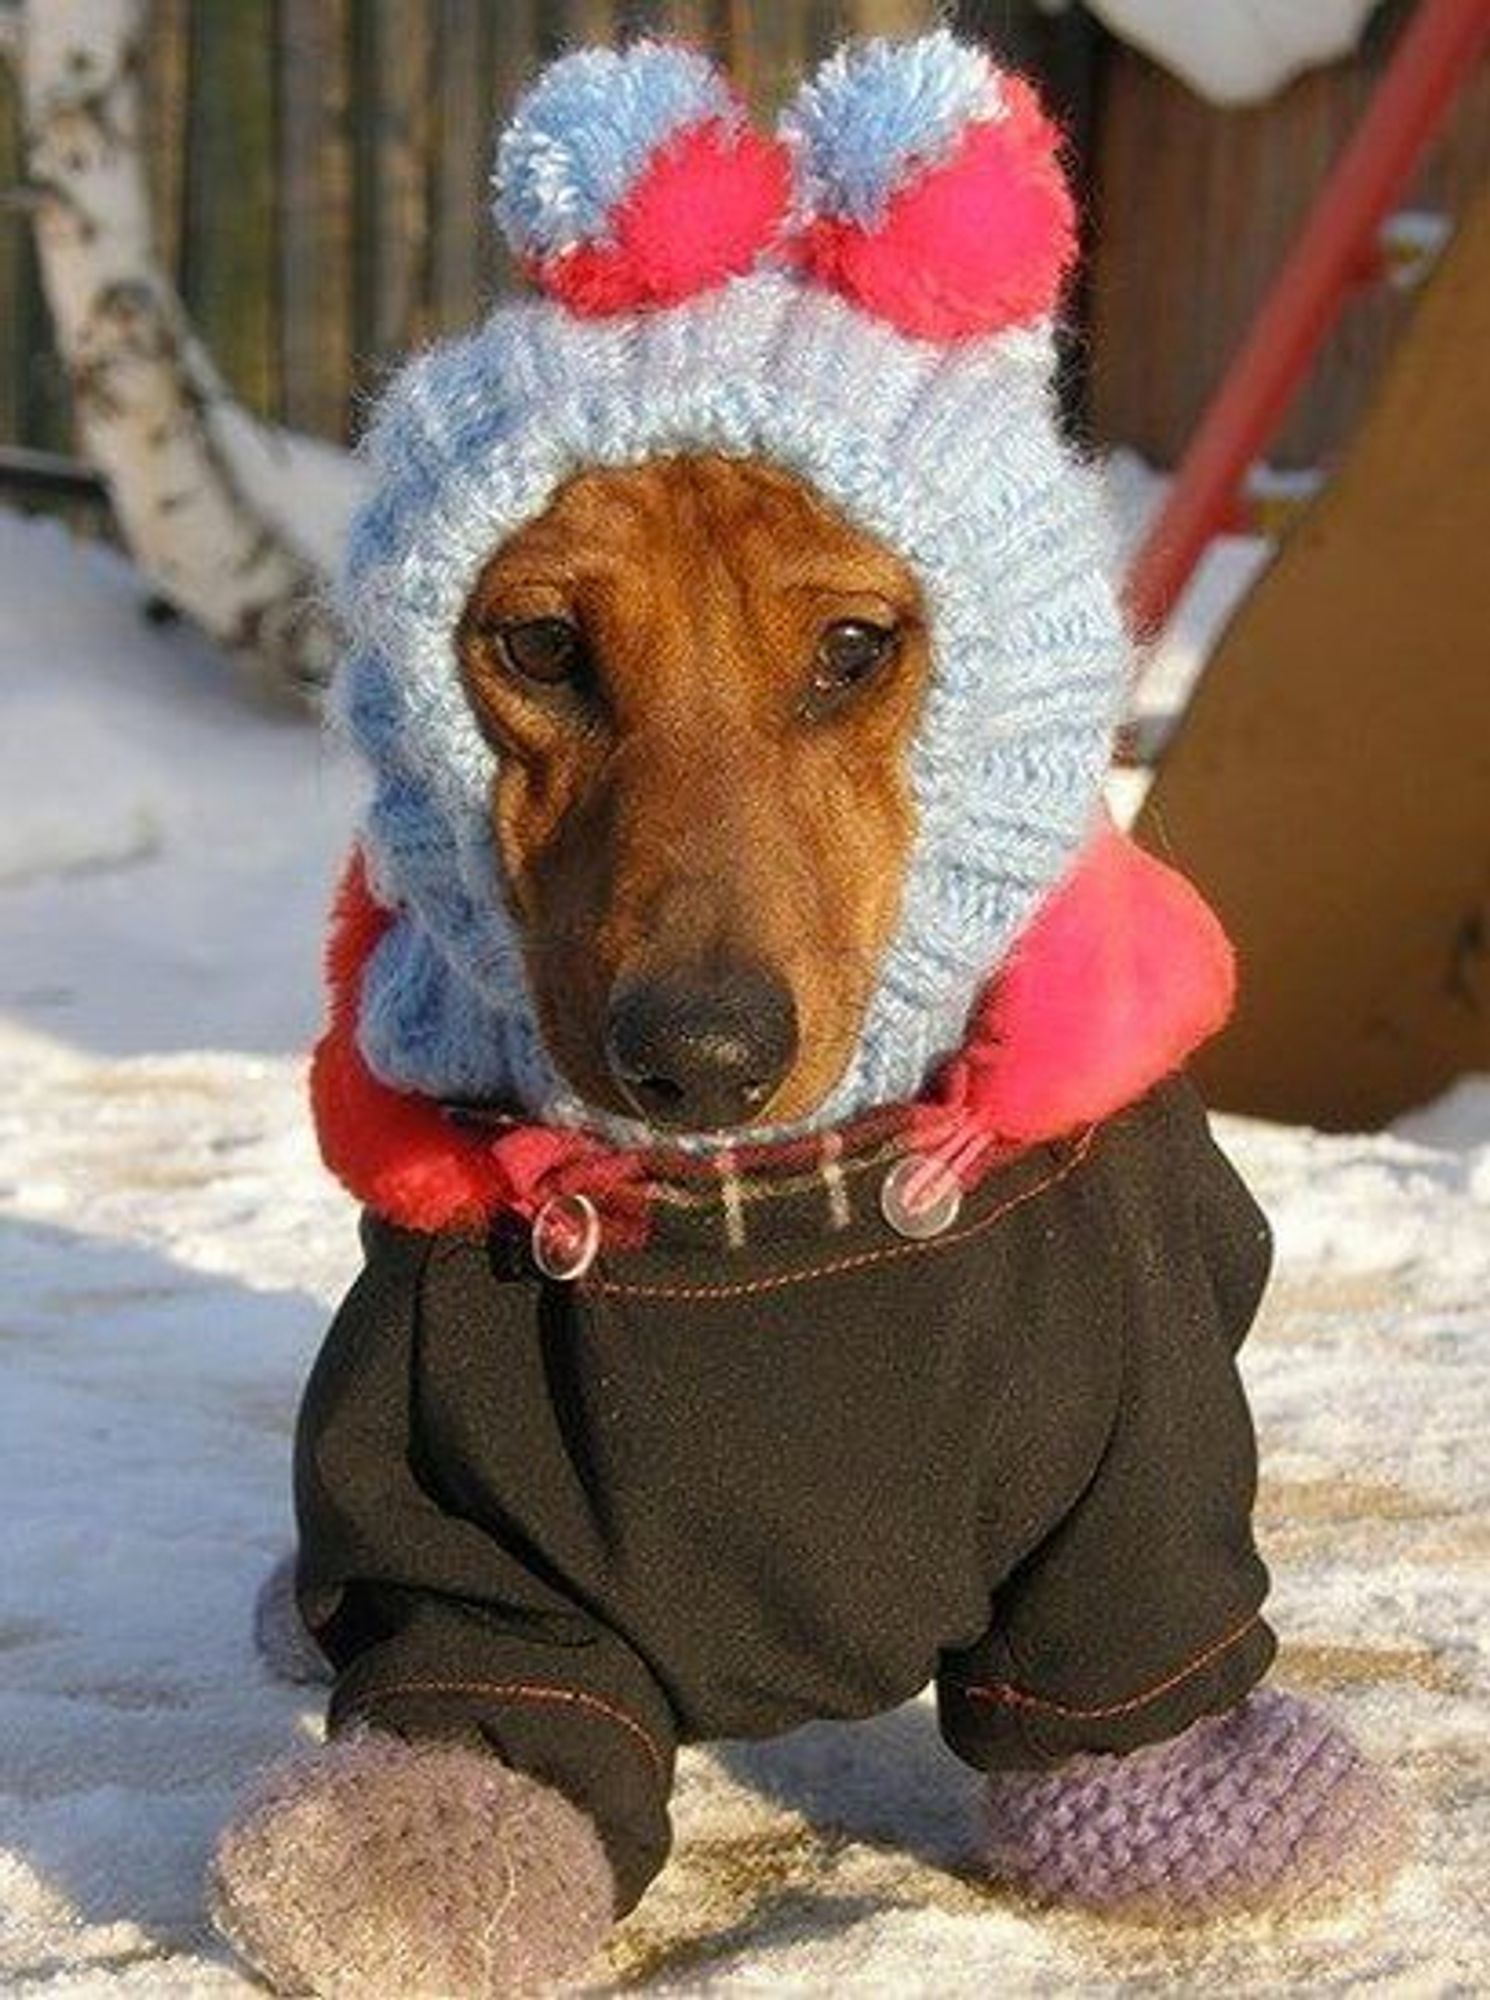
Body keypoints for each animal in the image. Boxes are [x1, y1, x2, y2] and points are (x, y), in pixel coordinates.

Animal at [209, 35, 1408, 2000]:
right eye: (537, 648)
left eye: (855, 649)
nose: (695, 1058)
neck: (758, 1230)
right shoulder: (449, 1527)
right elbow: (477, 1713)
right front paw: (405, 1866)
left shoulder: (1140, 1480)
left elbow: (1132, 1663)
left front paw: (1210, 1818)